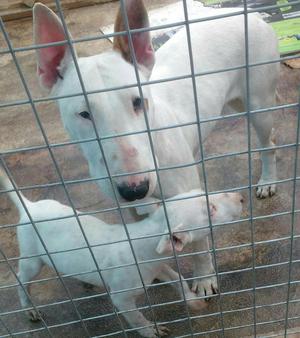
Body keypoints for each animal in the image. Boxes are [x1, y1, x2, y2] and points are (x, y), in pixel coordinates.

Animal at [0, 172, 243, 338]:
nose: (241, 198)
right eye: (211, 210)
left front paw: (194, 302)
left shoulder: (157, 267)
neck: (147, 237)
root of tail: (30, 207)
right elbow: (135, 317)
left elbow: (178, 278)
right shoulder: (122, 296)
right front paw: (151, 330)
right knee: (21, 279)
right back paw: (29, 309)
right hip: (31, 257)